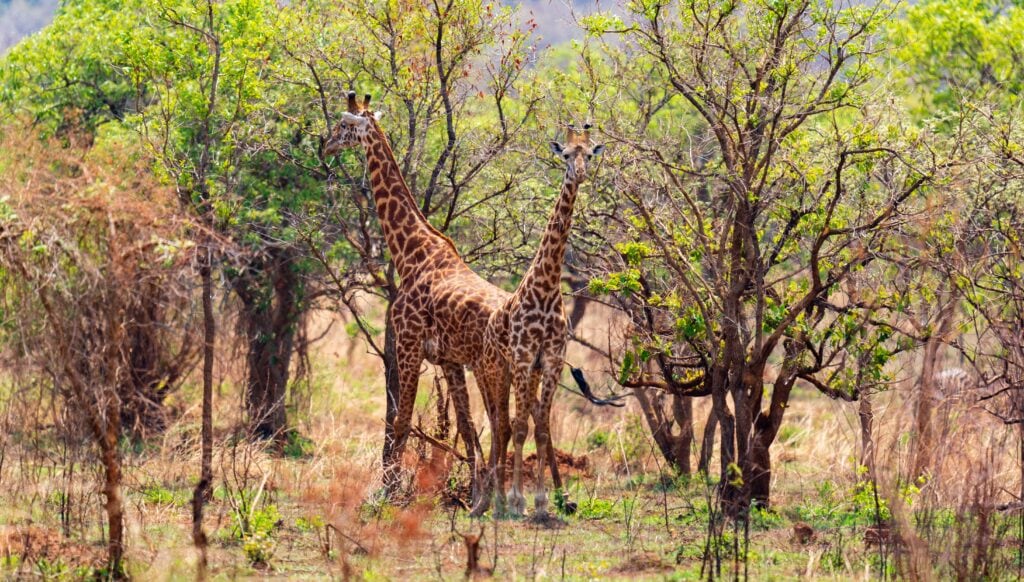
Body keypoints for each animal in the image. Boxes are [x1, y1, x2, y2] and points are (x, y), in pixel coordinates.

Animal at [324, 92, 511, 502]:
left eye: (343, 125)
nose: (324, 145)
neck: (411, 252)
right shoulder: (450, 360)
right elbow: (466, 426)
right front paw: (471, 488)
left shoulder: (409, 346)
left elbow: (402, 422)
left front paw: (390, 491)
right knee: (507, 422)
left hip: (490, 368)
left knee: (504, 423)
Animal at [477, 124, 604, 517]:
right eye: (566, 155)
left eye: (589, 154)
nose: (580, 173)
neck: (547, 288)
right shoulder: (521, 357)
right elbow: (518, 428)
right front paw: (518, 500)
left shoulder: (550, 359)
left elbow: (543, 429)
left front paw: (543, 502)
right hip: (498, 368)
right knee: (501, 424)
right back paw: (495, 501)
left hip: (526, 372)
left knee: (524, 420)